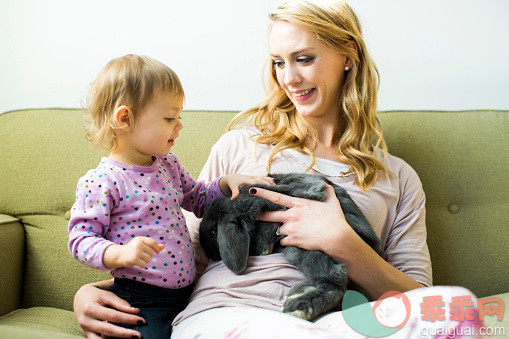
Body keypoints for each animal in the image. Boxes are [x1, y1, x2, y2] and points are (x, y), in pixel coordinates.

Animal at [198, 174, 380, 322]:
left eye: (214, 231)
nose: (211, 255)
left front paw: (264, 246)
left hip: (312, 249)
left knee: (336, 281)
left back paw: (298, 307)